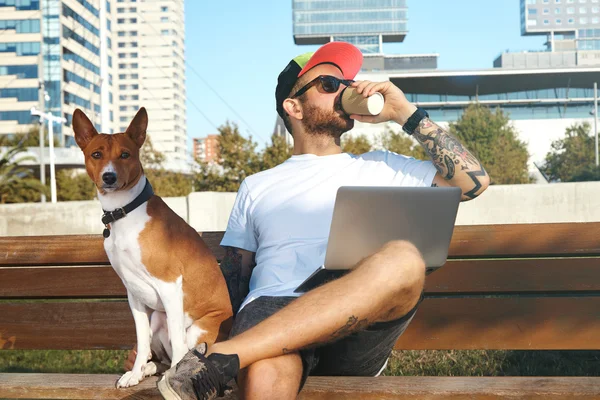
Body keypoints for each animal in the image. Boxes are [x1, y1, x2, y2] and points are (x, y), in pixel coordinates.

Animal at [71, 107, 233, 388]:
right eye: (96, 154)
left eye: (125, 154)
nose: (109, 177)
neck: (124, 212)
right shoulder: (133, 293)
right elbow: (142, 340)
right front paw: (136, 372)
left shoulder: (169, 284)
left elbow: (178, 346)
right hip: (158, 317)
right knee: (160, 356)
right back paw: (147, 369)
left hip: (196, 328)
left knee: (182, 349)